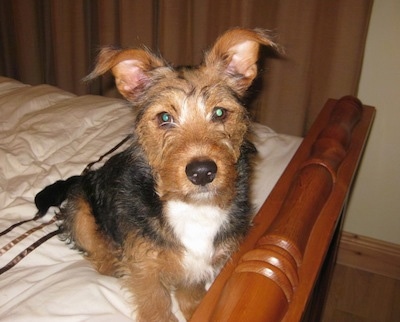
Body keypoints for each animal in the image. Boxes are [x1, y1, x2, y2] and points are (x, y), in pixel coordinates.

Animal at [44, 28, 276, 322]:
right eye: (165, 117)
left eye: (220, 112)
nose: (202, 172)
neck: (193, 207)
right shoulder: (145, 268)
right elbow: (156, 306)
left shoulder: (197, 265)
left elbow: (191, 292)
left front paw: (196, 310)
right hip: (82, 211)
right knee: (95, 251)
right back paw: (111, 262)